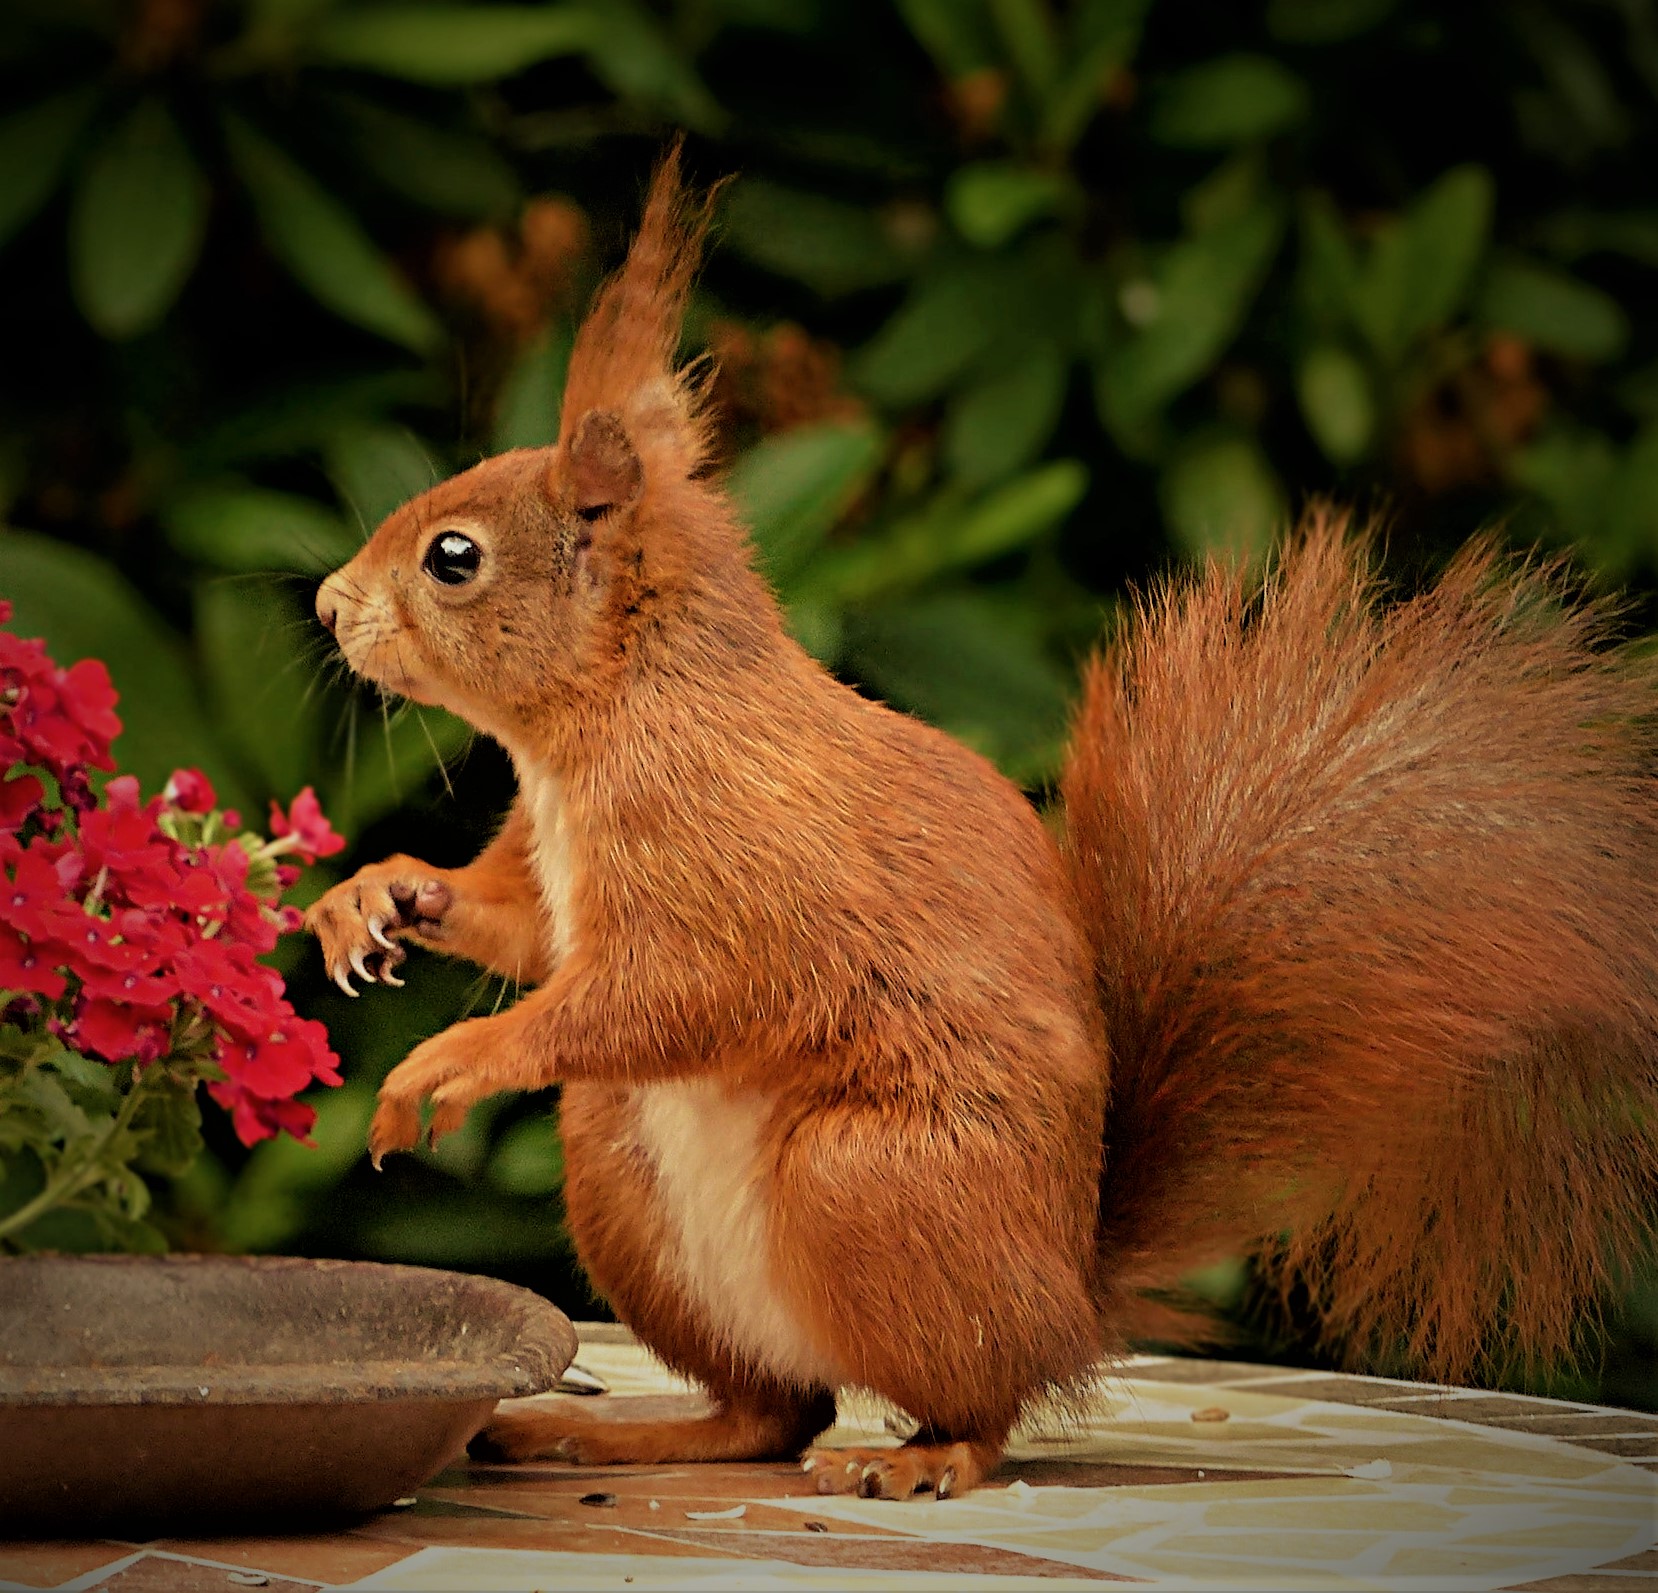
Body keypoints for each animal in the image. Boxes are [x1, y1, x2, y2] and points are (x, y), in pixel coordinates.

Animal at [306, 148, 1658, 1502]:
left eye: (454, 559)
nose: (324, 604)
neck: (608, 716)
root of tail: (1070, 1294)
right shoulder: (554, 876)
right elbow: (524, 932)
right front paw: (376, 896)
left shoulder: (731, 855)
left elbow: (671, 990)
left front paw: (448, 1062)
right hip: (619, 1165)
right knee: (769, 1413)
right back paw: (606, 1431)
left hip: (869, 1182)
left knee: (975, 1399)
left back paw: (921, 1457)